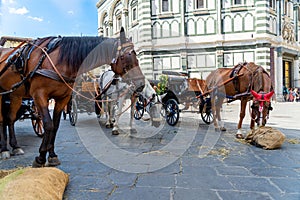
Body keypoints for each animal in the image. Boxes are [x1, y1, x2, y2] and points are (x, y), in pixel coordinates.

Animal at [0, 27, 145, 166]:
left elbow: (55, 126)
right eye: (126, 56)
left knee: (10, 119)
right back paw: (4, 149)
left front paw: (52, 155)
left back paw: (15, 147)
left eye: (136, 56)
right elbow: (48, 124)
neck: (58, 60)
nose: (141, 84)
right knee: (2, 120)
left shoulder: (62, 98)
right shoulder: (39, 95)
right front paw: (41, 157)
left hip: (15, 95)